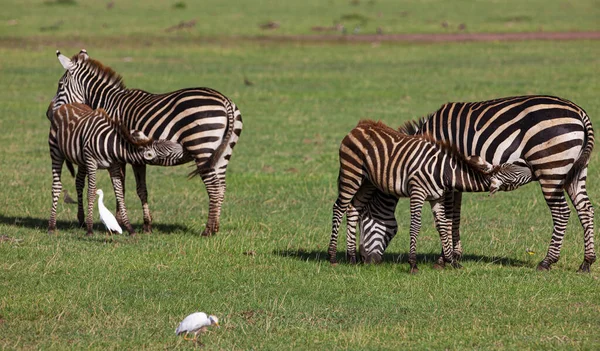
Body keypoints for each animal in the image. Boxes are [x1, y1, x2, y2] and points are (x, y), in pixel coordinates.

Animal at [48, 103, 185, 238]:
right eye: (167, 152)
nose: (183, 147)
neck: (110, 145)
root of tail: (67, 105)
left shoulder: (113, 166)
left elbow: (119, 193)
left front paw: (130, 228)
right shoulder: (92, 163)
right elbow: (91, 193)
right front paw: (90, 229)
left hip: (81, 159)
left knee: (79, 183)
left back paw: (81, 221)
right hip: (56, 152)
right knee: (57, 186)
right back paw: (52, 226)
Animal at [330, 119, 532, 274]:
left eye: (513, 165)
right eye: (515, 172)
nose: (531, 166)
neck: (444, 171)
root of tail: (360, 126)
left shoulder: (437, 197)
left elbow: (442, 225)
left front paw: (452, 262)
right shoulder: (417, 192)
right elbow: (415, 226)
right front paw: (413, 264)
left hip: (367, 182)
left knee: (353, 208)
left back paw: (352, 258)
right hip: (352, 173)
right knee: (339, 208)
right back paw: (332, 257)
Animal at [356, 97, 596, 276]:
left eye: (364, 219)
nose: (364, 260)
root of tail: (580, 112)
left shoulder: (442, 175)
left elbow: (445, 218)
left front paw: (444, 259)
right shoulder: (454, 178)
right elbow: (454, 217)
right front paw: (453, 255)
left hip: (551, 168)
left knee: (562, 213)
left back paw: (547, 261)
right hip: (575, 171)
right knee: (585, 209)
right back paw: (586, 262)